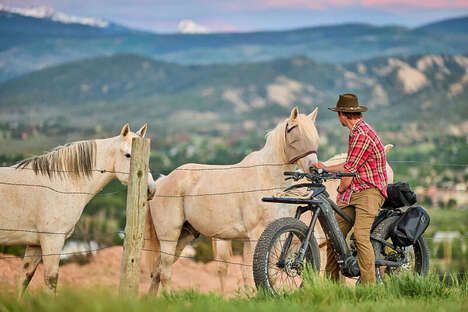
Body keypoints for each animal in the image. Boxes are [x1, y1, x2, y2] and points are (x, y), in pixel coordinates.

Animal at [0, 123, 157, 294]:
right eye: (128, 155)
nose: (150, 189)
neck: (61, 183)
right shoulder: (52, 239)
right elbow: (51, 280)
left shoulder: (35, 244)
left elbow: (24, 280)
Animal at [145, 106, 322, 292]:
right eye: (293, 132)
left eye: (314, 135)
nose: (313, 168)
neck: (267, 176)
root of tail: (162, 180)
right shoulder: (256, 235)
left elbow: (263, 273)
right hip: (169, 237)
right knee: (165, 273)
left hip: (184, 236)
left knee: (158, 271)